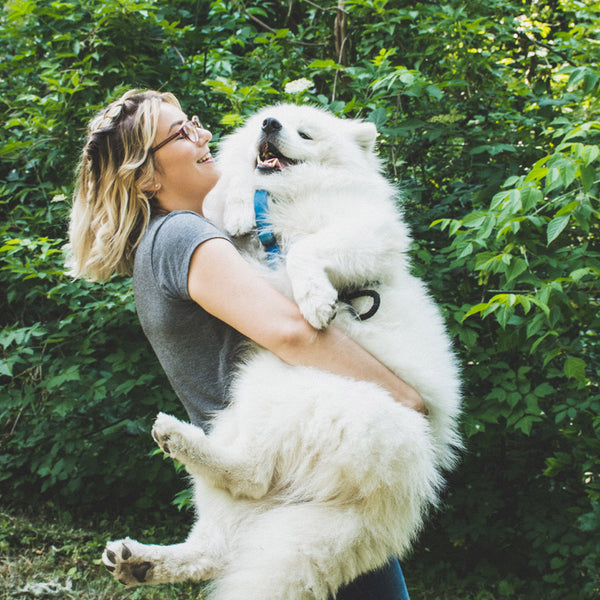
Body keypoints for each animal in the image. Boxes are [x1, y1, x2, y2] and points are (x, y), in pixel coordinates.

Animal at [103, 104, 462, 600]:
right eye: (268, 121)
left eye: (305, 133)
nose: (269, 124)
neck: (278, 201)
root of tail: (397, 489)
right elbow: (230, 190)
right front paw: (238, 209)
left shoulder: (361, 232)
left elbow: (304, 250)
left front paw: (316, 300)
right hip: (244, 419)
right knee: (218, 541)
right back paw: (141, 560)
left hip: (277, 387)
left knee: (250, 480)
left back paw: (176, 443)